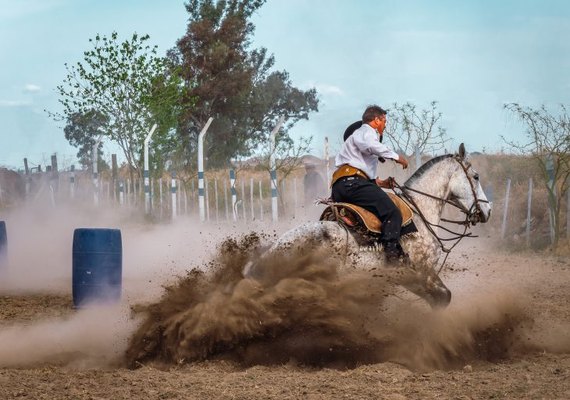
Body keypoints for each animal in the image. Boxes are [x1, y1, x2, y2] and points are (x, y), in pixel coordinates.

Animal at [242, 143, 490, 306]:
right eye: (476, 177)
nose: (487, 211)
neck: (420, 212)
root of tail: (278, 247)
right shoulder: (420, 271)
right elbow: (443, 298)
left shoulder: (410, 277)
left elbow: (441, 297)